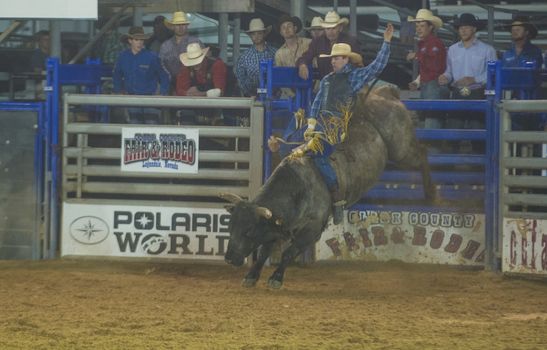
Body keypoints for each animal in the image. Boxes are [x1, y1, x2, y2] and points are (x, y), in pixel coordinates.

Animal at [218, 86, 436, 288]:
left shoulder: (313, 229)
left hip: (400, 148)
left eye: (248, 232)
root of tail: (383, 92)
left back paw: (432, 194)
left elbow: (289, 252)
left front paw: (276, 279)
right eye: (230, 227)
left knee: (423, 153)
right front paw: (251, 276)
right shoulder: (277, 226)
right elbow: (264, 251)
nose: (229, 258)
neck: (298, 189)